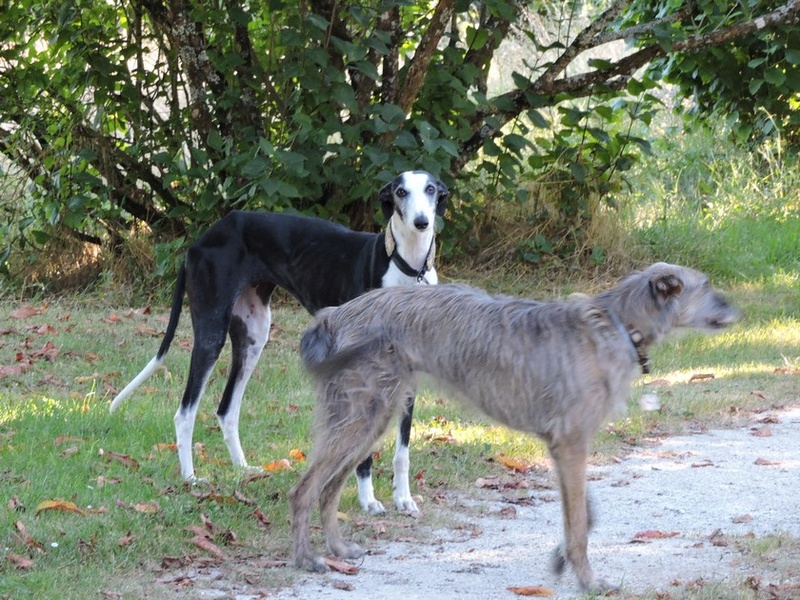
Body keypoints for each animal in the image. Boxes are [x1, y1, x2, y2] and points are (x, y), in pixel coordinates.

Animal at [110, 170, 450, 516]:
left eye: (430, 189)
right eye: (400, 192)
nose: (421, 222)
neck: (404, 266)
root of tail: (202, 240)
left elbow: (403, 448)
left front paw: (403, 498)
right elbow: (362, 450)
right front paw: (368, 500)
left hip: (254, 336)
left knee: (226, 408)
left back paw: (243, 469)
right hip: (211, 333)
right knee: (185, 412)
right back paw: (191, 477)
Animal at [290, 262, 736, 592]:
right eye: (707, 285)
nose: (738, 310)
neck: (617, 324)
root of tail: (334, 314)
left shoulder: (566, 445)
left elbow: (584, 514)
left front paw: (560, 559)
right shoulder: (570, 443)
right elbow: (579, 525)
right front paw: (588, 580)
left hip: (372, 418)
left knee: (329, 488)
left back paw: (338, 549)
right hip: (361, 415)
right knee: (305, 490)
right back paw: (306, 559)